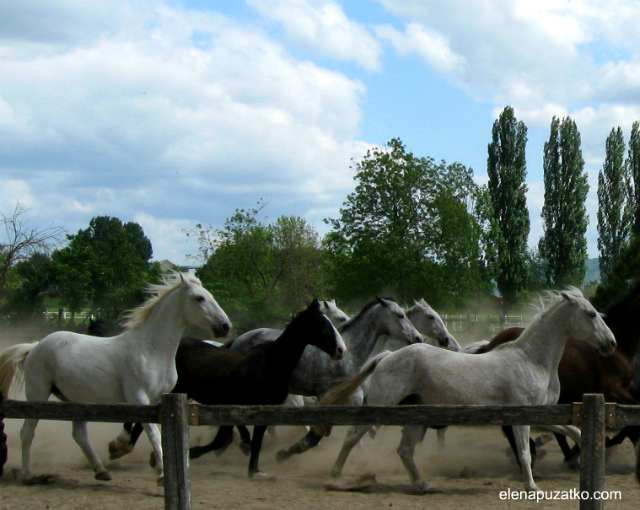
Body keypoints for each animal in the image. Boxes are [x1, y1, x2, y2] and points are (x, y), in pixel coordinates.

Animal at [0, 272, 232, 484]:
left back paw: (101, 471)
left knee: (79, 435)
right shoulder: (138, 396)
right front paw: (161, 474)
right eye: (199, 298)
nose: (225, 326)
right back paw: (28, 475)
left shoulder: (157, 400)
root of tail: (34, 347)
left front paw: (129, 452)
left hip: (75, 400)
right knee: (27, 432)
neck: (151, 349)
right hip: (38, 394)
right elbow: (153, 433)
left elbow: (147, 430)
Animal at [320, 290, 616, 494]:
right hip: (382, 406)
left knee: (404, 450)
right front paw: (532, 487)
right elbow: (523, 451)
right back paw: (335, 476)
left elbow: (573, 431)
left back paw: (423, 484)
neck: (531, 360)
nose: (611, 343)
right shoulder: (520, 418)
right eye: (591, 314)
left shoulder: (541, 414)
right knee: (353, 435)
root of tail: (385, 357)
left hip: (414, 414)